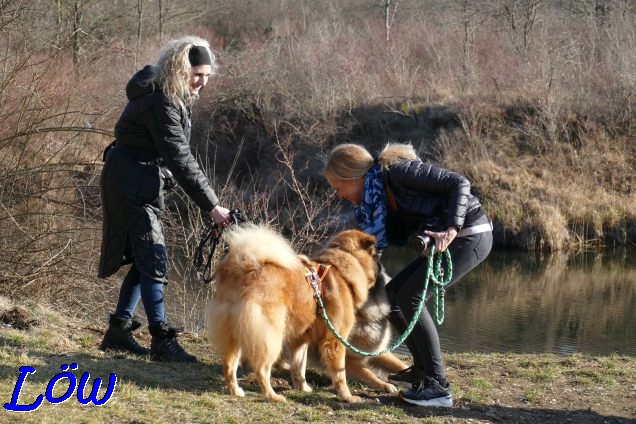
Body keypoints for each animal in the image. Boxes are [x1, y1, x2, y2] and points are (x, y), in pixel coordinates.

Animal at [206, 224, 396, 402]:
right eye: (376, 255)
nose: (381, 268)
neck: (342, 267)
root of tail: (244, 267)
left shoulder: (299, 339)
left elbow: (299, 366)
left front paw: (302, 388)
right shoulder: (335, 339)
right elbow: (340, 373)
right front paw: (347, 396)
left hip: (233, 333)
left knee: (229, 365)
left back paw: (235, 391)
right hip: (271, 337)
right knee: (261, 368)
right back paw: (272, 396)